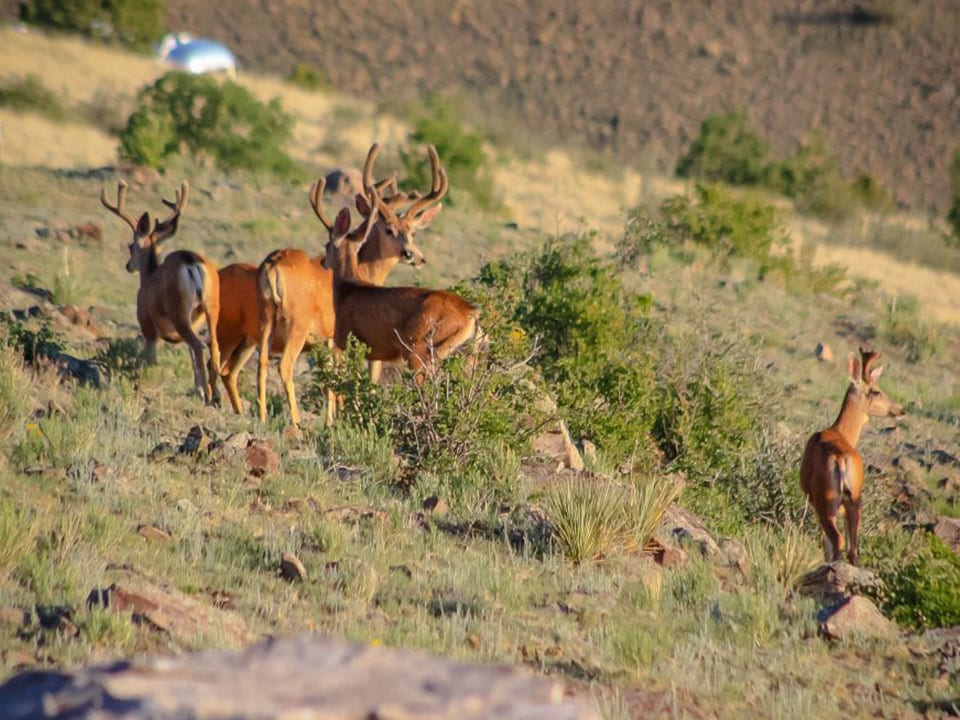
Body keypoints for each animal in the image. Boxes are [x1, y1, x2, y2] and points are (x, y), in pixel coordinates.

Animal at [100, 180, 222, 405]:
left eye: (130, 246)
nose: (128, 265)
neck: (149, 277)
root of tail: (191, 262)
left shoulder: (146, 324)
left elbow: (151, 357)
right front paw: (197, 388)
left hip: (178, 309)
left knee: (198, 345)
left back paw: (208, 396)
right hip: (211, 306)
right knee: (213, 346)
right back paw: (215, 394)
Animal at [250, 143, 449, 426]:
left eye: (413, 231)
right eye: (388, 229)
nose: (412, 255)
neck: (362, 269)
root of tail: (272, 264)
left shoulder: (331, 339)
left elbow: (333, 377)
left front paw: (334, 419)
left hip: (265, 315)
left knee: (262, 363)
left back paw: (263, 417)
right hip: (297, 323)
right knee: (284, 365)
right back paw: (297, 424)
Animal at [800, 348, 905, 566]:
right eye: (876, 390)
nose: (901, 409)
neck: (841, 432)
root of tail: (841, 458)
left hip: (826, 500)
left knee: (836, 540)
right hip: (854, 500)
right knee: (852, 549)